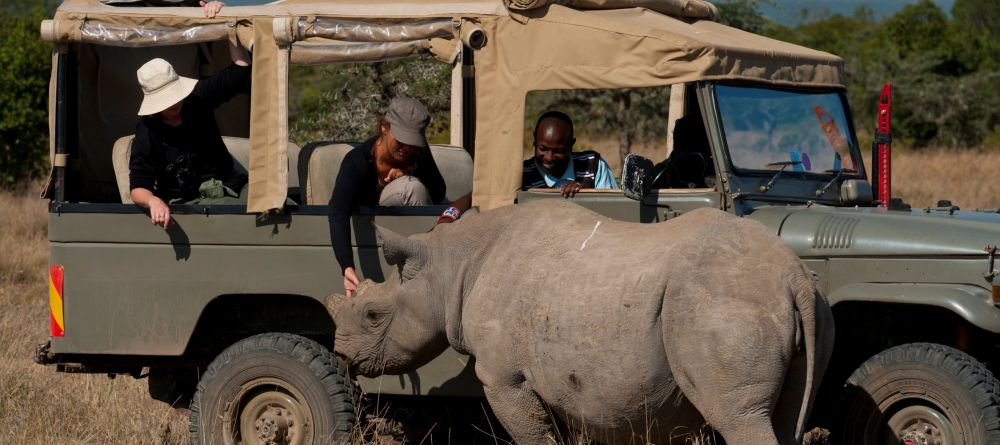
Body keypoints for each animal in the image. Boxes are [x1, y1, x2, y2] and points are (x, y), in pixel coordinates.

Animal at [328, 200, 836, 444]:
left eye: (373, 315)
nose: (341, 352)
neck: (452, 264)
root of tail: (793, 274)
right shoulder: (568, 383)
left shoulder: (505, 377)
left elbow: (532, 434)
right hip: (807, 309)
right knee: (785, 418)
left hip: (720, 304)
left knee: (740, 417)